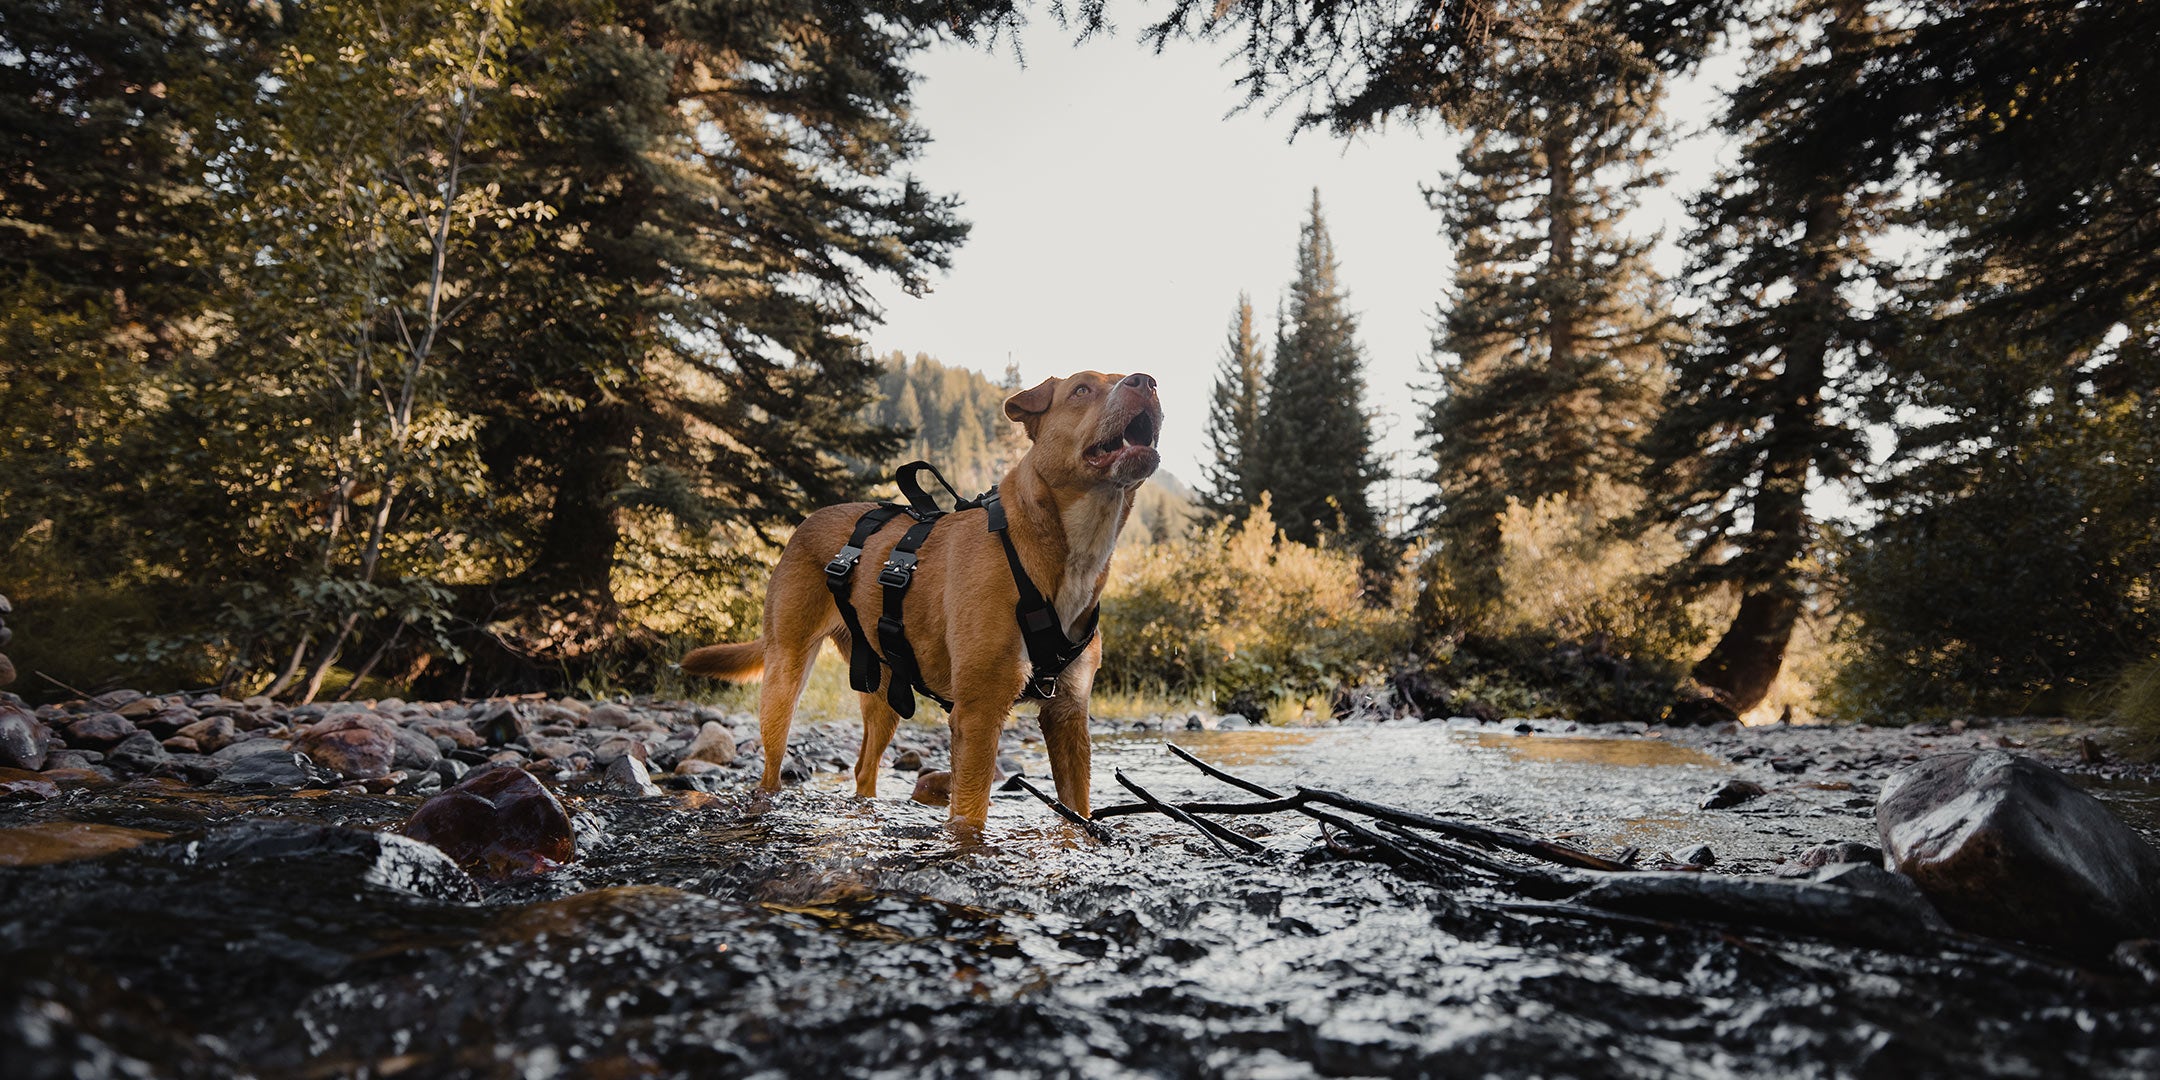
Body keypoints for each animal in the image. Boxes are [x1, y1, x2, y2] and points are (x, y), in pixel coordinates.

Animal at [686, 371, 1166, 833]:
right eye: (1081, 389)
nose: (1146, 381)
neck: (1061, 549)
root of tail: (807, 522)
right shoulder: (978, 713)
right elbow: (968, 818)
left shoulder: (1067, 716)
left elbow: (1077, 814)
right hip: (784, 674)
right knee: (770, 769)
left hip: (882, 692)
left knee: (864, 770)